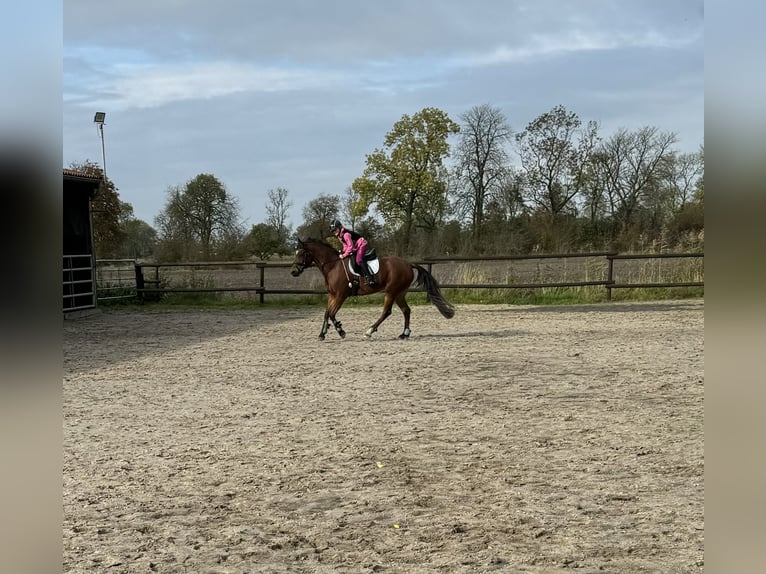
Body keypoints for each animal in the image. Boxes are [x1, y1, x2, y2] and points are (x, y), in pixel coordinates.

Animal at [292, 240, 452, 340]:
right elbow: (326, 313)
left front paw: (341, 331)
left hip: (391, 292)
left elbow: (331, 314)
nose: (293, 272)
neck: (333, 266)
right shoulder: (332, 295)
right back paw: (404, 334)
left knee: (387, 312)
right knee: (406, 310)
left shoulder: (341, 296)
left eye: (302, 253)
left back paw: (369, 331)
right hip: (400, 293)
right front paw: (322, 334)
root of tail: (408, 264)